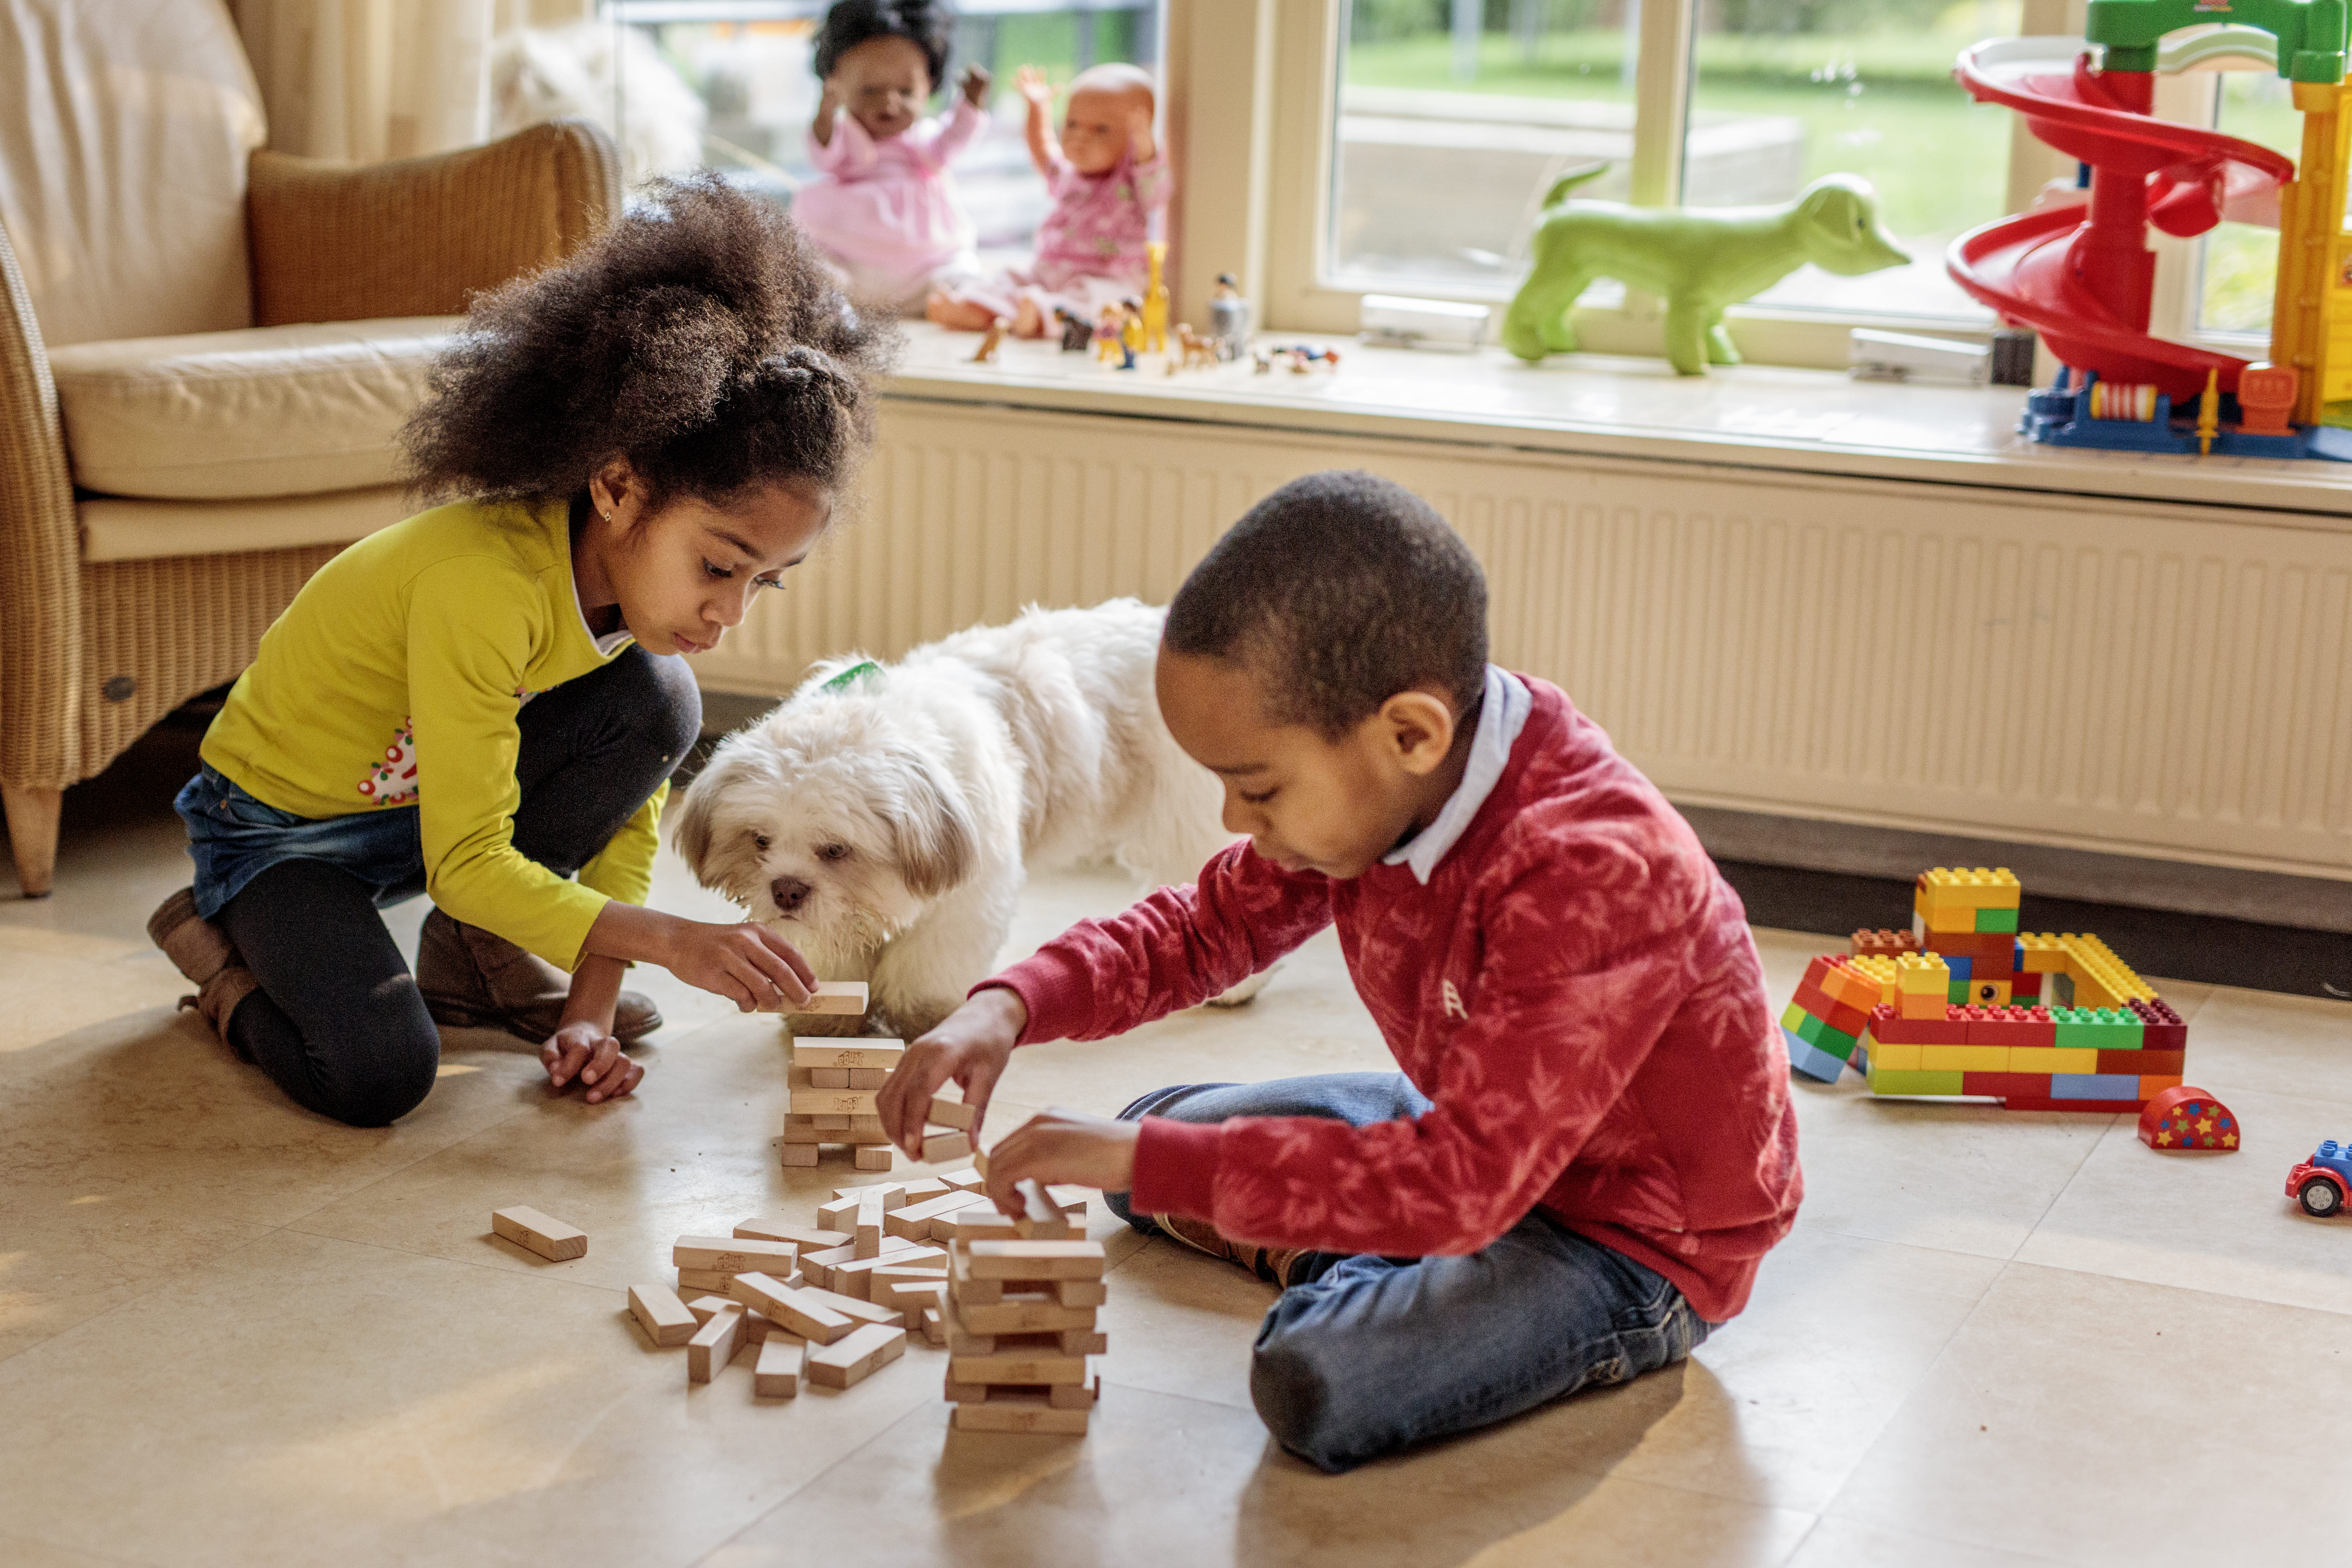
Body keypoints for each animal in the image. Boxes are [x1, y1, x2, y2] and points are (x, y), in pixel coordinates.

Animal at [672, 597, 1260, 1030]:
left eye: (836, 849)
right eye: (760, 841)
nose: (787, 890)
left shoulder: (965, 897)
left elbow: (927, 969)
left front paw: (918, 1019)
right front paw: (827, 1020)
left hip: (1190, 817)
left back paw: (1237, 987)